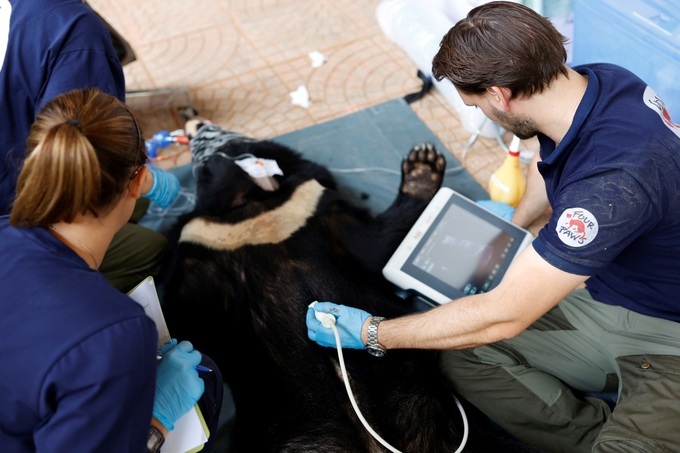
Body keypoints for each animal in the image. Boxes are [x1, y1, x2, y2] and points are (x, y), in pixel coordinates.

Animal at [161, 123, 537, 453]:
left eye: (212, 133)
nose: (193, 125)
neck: (252, 207)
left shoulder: (312, 206)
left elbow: (376, 246)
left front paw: (423, 163)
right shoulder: (207, 243)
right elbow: (190, 319)